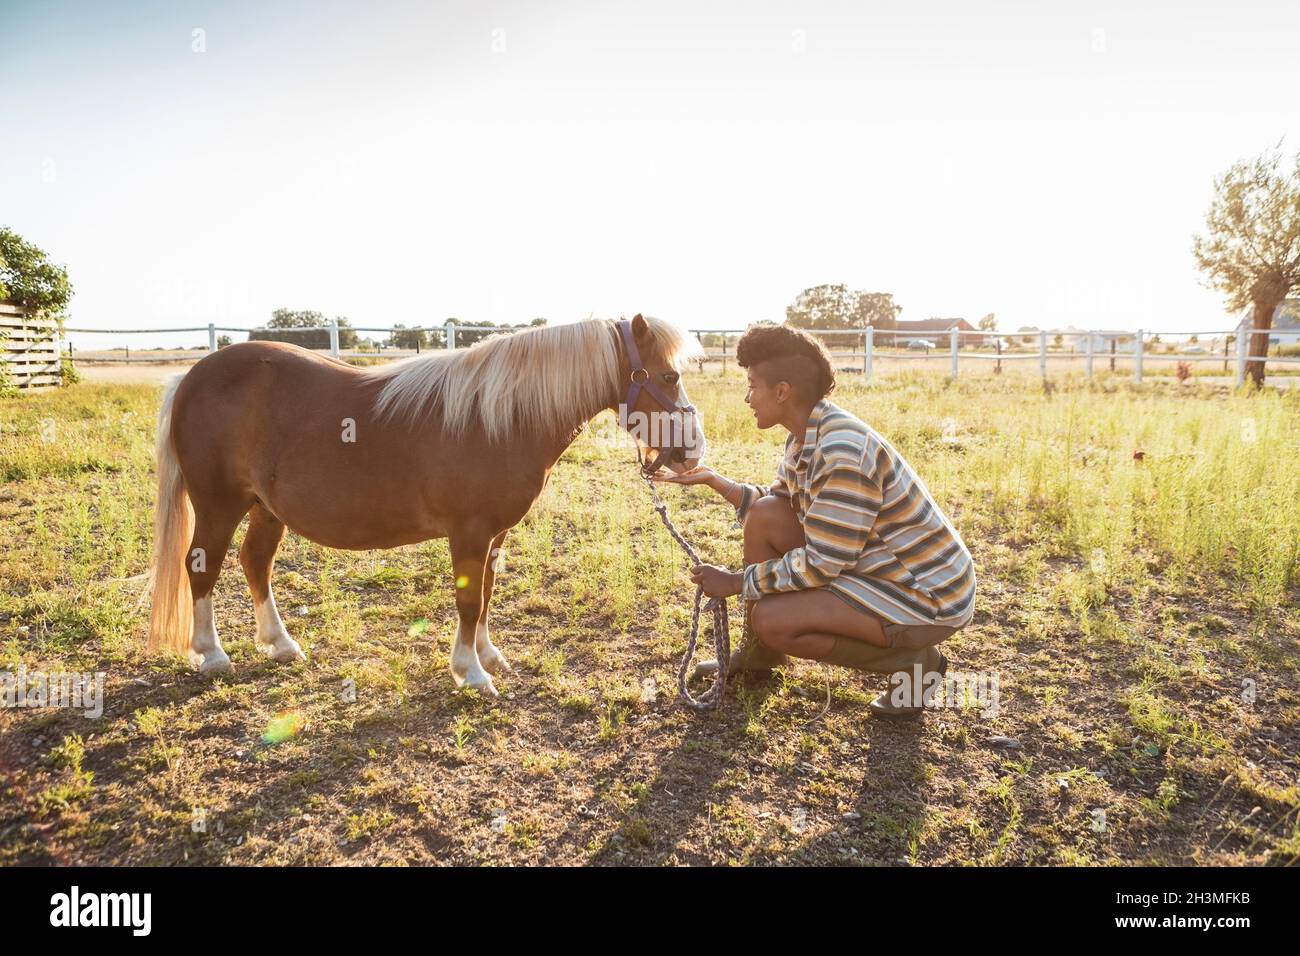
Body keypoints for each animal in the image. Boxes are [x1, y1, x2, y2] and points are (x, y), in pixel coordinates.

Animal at [147, 314, 706, 698]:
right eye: (669, 377)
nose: (695, 450)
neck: (497, 417)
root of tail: (191, 377)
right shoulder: (470, 533)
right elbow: (469, 600)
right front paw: (471, 673)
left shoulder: (494, 536)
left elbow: (487, 593)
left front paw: (488, 655)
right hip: (218, 505)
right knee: (202, 567)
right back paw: (212, 654)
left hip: (266, 508)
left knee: (255, 563)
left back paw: (281, 644)